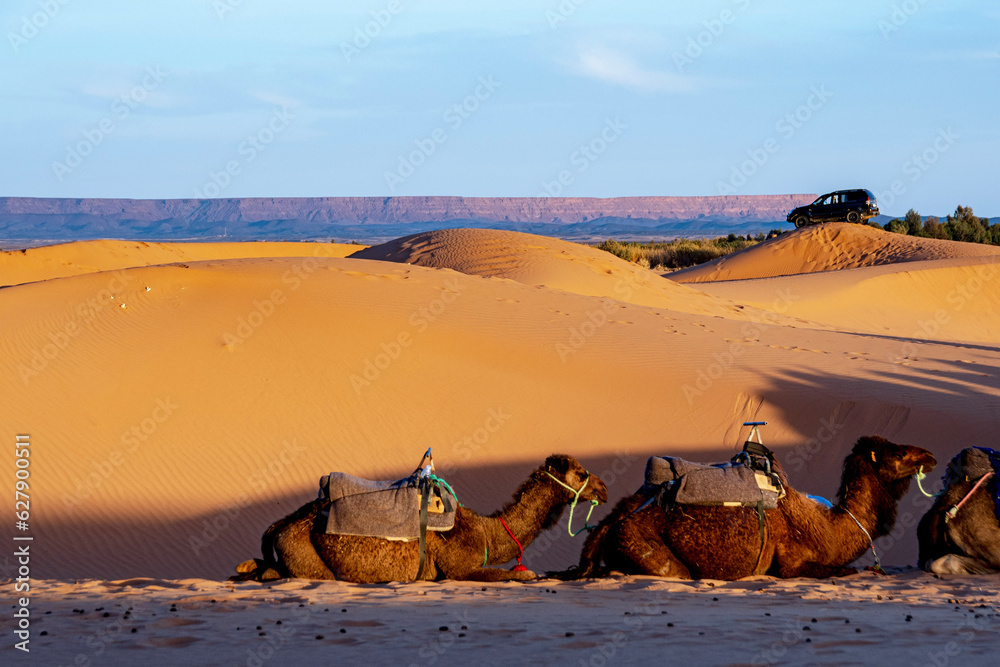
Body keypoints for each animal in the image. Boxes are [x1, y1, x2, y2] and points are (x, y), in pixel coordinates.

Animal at [232, 454, 608, 583]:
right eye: (580, 471)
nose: (604, 488)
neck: (486, 531)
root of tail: (282, 524)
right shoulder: (459, 569)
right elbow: (522, 575)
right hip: (307, 555)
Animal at [552, 436, 935, 580]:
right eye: (897, 452)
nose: (930, 456)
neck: (829, 529)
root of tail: (614, 518)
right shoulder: (792, 564)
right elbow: (846, 571)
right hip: (643, 545)